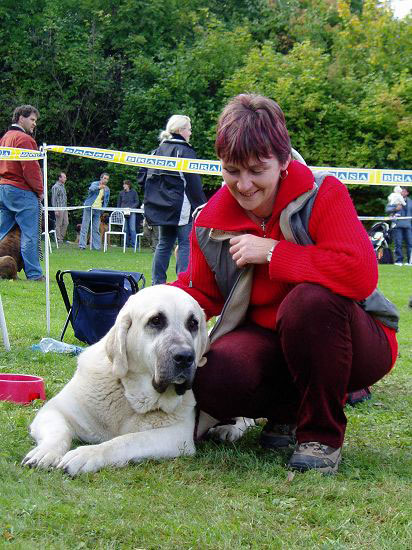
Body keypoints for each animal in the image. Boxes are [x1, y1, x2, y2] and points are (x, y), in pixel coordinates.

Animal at [23, 286, 254, 476]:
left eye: (193, 324)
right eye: (156, 321)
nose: (185, 357)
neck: (130, 396)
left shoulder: (177, 436)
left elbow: (125, 440)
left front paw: (87, 454)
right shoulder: (55, 410)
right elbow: (59, 431)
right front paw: (45, 452)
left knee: (248, 420)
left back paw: (230, 430)